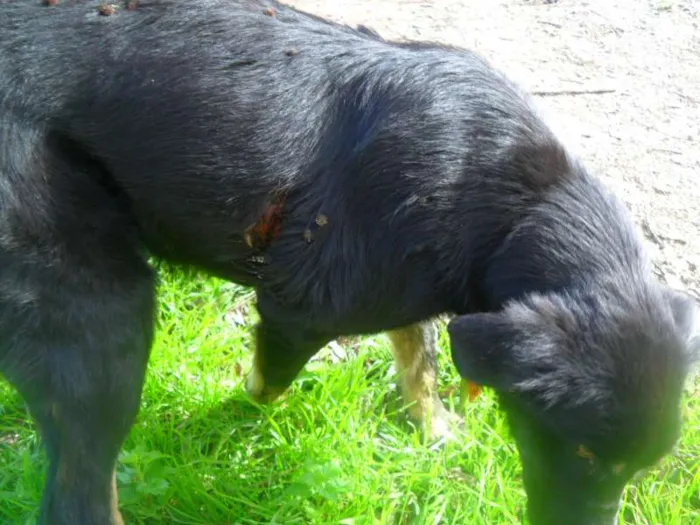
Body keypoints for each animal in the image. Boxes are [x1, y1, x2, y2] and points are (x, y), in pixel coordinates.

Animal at [0, 1, 696, 524]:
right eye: (581, 453)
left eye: (641, 471)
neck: (516, 206)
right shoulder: (299, 309)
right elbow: (271, 380)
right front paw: (245, 400)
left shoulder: (411, 283)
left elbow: (419, 357)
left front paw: (434, 428)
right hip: (103, 318)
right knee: (78, 497)